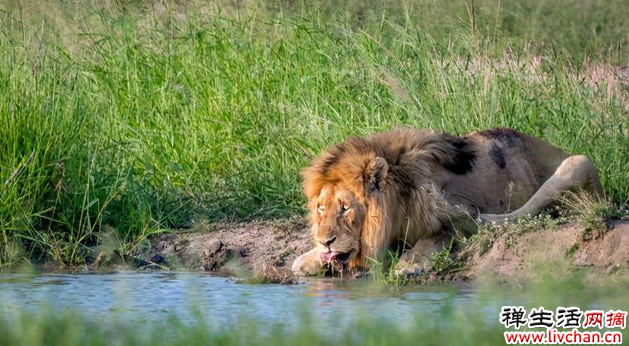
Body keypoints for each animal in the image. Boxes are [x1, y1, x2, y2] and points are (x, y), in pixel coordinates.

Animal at [290, 127, 604, 276]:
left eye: (346, 208)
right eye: (321, 208)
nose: (325, 241)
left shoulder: (453, 216)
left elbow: (433, 237)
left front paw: (409, 264)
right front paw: (307, 258)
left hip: (578, 162)